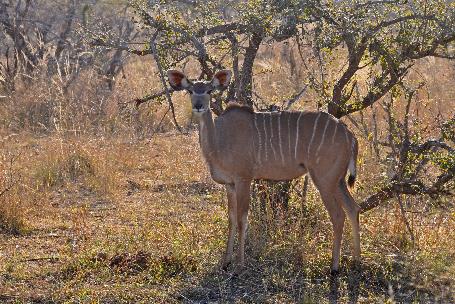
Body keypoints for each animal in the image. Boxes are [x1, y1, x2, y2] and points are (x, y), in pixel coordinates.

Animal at [166, 69, 362, 274]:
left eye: (209, 90)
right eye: (190, 91)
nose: (198, 106)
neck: (219, 141)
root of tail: (350, 136)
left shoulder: (244, 179)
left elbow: (242, 219)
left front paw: (240, 264)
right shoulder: (230, 185)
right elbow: (231, 218)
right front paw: (226, 262)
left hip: (324, 180)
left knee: (338, 215)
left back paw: (334, 267)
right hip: (337, 180)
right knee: (353, 208)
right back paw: (356, 261)